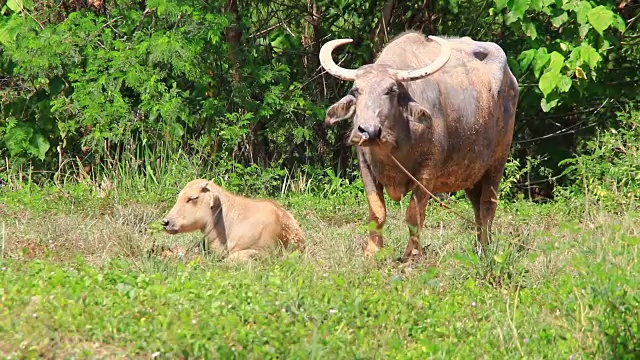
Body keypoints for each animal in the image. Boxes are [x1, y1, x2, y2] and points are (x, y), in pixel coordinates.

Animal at [320, 31, 520, 258]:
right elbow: (377, 211)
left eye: (391, 90)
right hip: (471, 172)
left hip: (497, 163)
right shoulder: (366, 166)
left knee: (487, 207)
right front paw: (372, 251)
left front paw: (412, 254)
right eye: (356, 90)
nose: (368, 130)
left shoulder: (427, 173)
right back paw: (478, 249)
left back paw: (485, 252)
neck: (392, 149)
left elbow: (414, 214)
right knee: (477, 208)